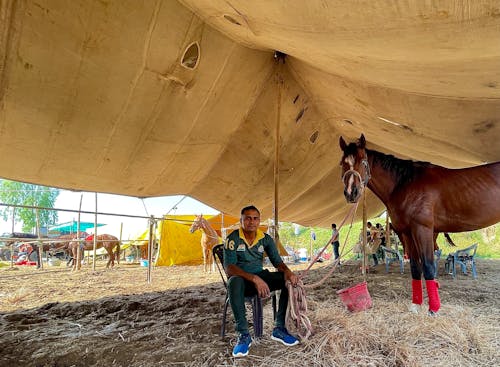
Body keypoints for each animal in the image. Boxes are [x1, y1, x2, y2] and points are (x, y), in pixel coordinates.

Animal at [338, 134, 498, 314]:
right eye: (342, 163)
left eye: (363, 161)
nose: (351, 193)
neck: (405, 184)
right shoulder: (407, 233)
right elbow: (415, 267)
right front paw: (416, 305)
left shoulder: (423, 230)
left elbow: (428, 265)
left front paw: (433, 309)